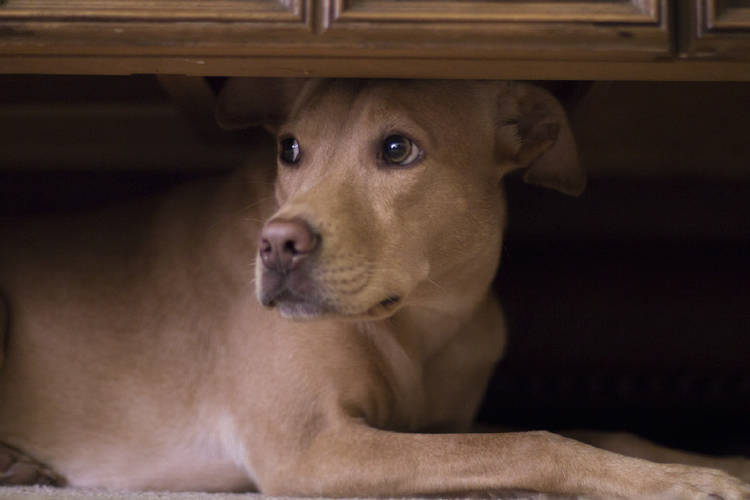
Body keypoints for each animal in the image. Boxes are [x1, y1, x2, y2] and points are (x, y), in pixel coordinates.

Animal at [1, 80, 750, 498]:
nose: (275, 247)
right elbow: (535, 442)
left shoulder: (441, 425)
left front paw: (715, 462)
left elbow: (596, 428)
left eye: (397, 150)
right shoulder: (313, 449)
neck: (424, 319)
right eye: (290, 149)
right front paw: (677, 485)